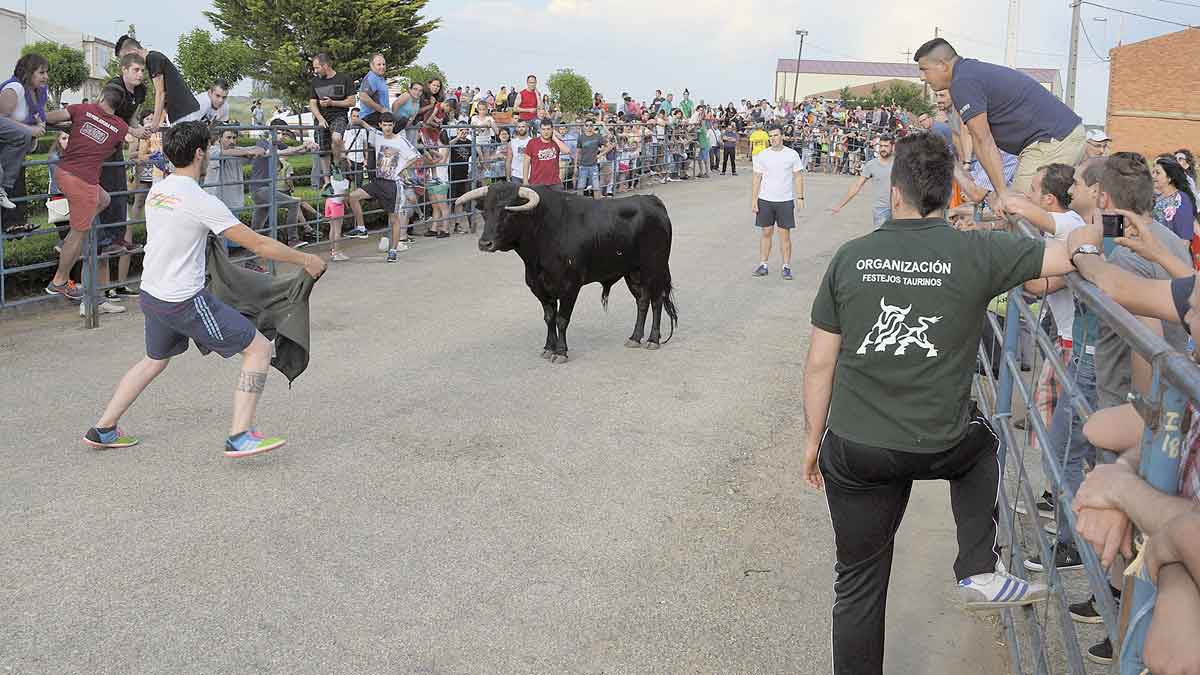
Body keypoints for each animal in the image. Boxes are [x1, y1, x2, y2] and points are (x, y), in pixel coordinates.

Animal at [453, 181, 676, 362]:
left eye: (508, 212)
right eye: (485, 211)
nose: (485, 243)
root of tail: (652, 201)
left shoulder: (570, 287)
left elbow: (562, 319)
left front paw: (560, 352)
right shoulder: (539, 287)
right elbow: (549, 318)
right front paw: (548, 348)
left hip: (655, 268)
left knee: (656, 301)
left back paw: (653, 340)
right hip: (633, 272)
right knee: (642, 301)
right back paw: (634, 338)